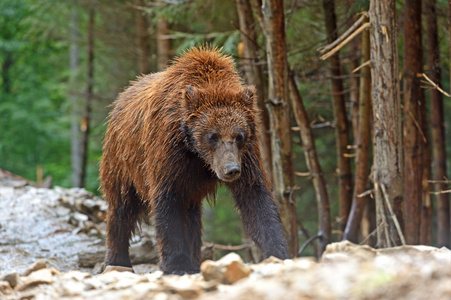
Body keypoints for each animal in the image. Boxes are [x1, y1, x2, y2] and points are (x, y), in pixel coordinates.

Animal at [100, 46, 290, 274]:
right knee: (121, 208)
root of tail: (122, 96)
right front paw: (176, 264)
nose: (231, 169)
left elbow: (255, 197)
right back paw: (117, 260)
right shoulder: (168, 151)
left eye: (239, 135)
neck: (197, 154)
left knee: (191, 217)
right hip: (122, 161)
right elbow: (167, 201)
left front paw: (279, 252)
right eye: (213, 135)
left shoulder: (247, 154)